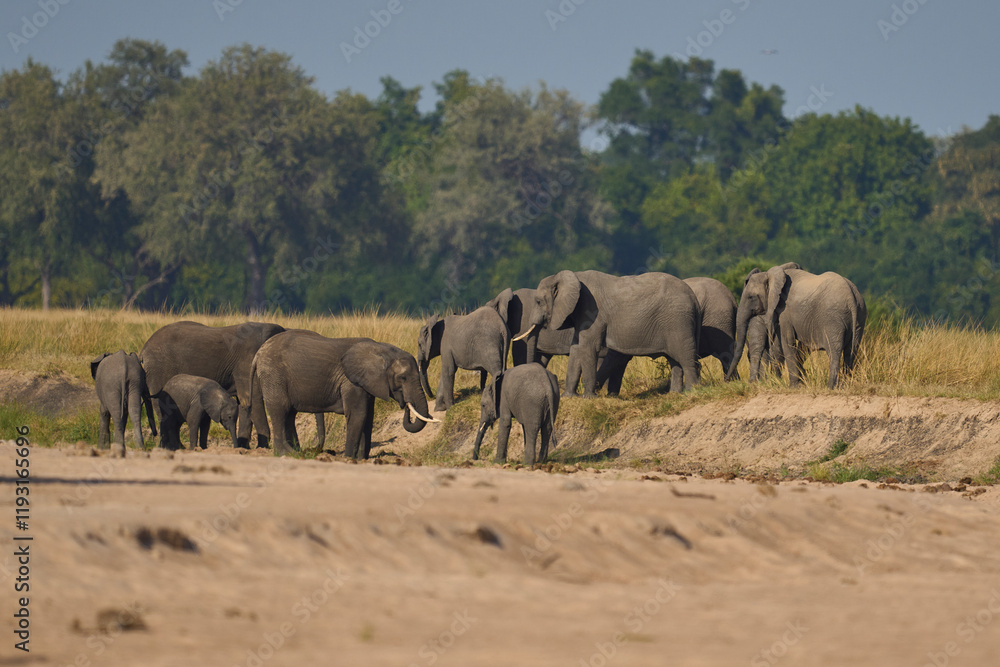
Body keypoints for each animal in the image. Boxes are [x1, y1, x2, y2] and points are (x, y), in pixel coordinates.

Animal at [140, 321, 322, 449]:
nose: (313, 448)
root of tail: (144, 349)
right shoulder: (248, 362)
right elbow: (254, 400)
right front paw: (262, 448)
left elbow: (245, 403)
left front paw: (244, 447)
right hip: (159, 370)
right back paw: (175, 447)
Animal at [251, 332, 438, 458]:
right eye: (403, 378)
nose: (405, 404)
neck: (383, 350)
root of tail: (258, 354)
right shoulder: (351, 381)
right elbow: (358, 414)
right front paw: (348, 458)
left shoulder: (367, 383)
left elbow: (368, 417)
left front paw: (361, 459)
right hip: (274, 375)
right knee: (280, 410)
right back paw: (287, 453)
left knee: (289, 414)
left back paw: (296, 452)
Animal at [522, 270, 701, 397]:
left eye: (538, 301)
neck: (572, 276)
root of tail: (694, 298)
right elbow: (576, 348)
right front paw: (569, 397)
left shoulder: (592, 312)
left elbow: (588, 348)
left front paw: (588, 398)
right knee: (675, 359)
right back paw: (675, 394)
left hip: (678, 322)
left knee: (684, 356)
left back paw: (691, 392)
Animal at [727, 264, 867, 388]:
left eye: (751, 297)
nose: (727, 380)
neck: (770, 275)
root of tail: (851, 297)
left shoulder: (785, 312)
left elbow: (787, 342)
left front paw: (793, 387)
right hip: (859, 318)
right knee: (851, 352)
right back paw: (844, 386)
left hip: (833, 319)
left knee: (834, 353)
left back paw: (831, 387)